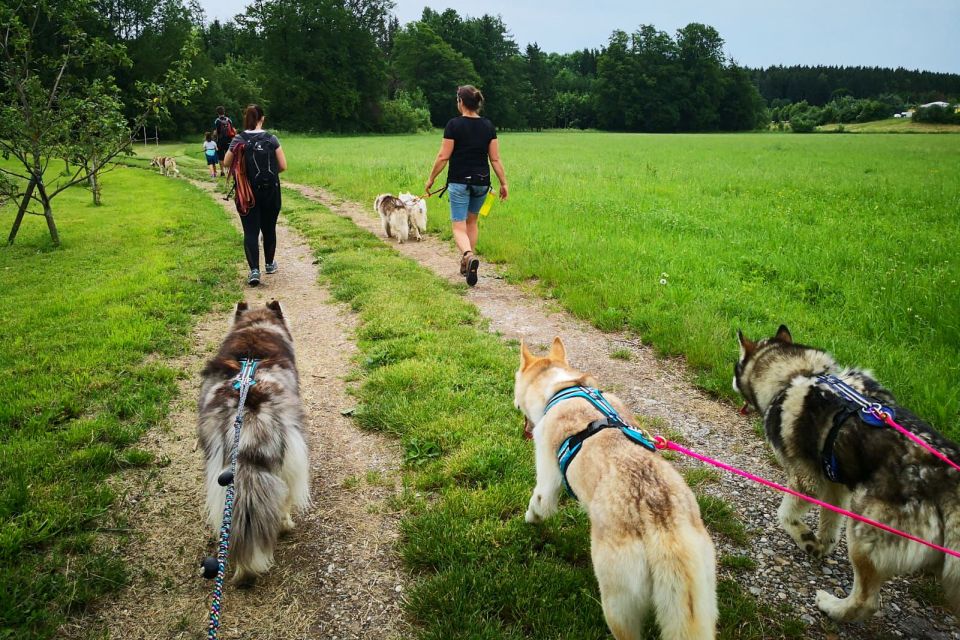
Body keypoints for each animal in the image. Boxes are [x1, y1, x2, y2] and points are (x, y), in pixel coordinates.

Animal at [516, 338, 712, 636]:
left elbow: (538, 503)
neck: (562, 389)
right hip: (700, 602)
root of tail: (663, 527)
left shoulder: (547, 481)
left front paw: (530, 520)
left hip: (617, 602)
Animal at [736, 324, 960, 620]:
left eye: (736, 366)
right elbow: (830, 520)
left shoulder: (806, 481)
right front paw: (822, 543)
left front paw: (805, 538)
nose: (732, 379)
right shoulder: (836, 486)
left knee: (867, 601)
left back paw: (832, 607)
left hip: (863, 532)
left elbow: (784, 515)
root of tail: (946, 482)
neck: (798, 372)